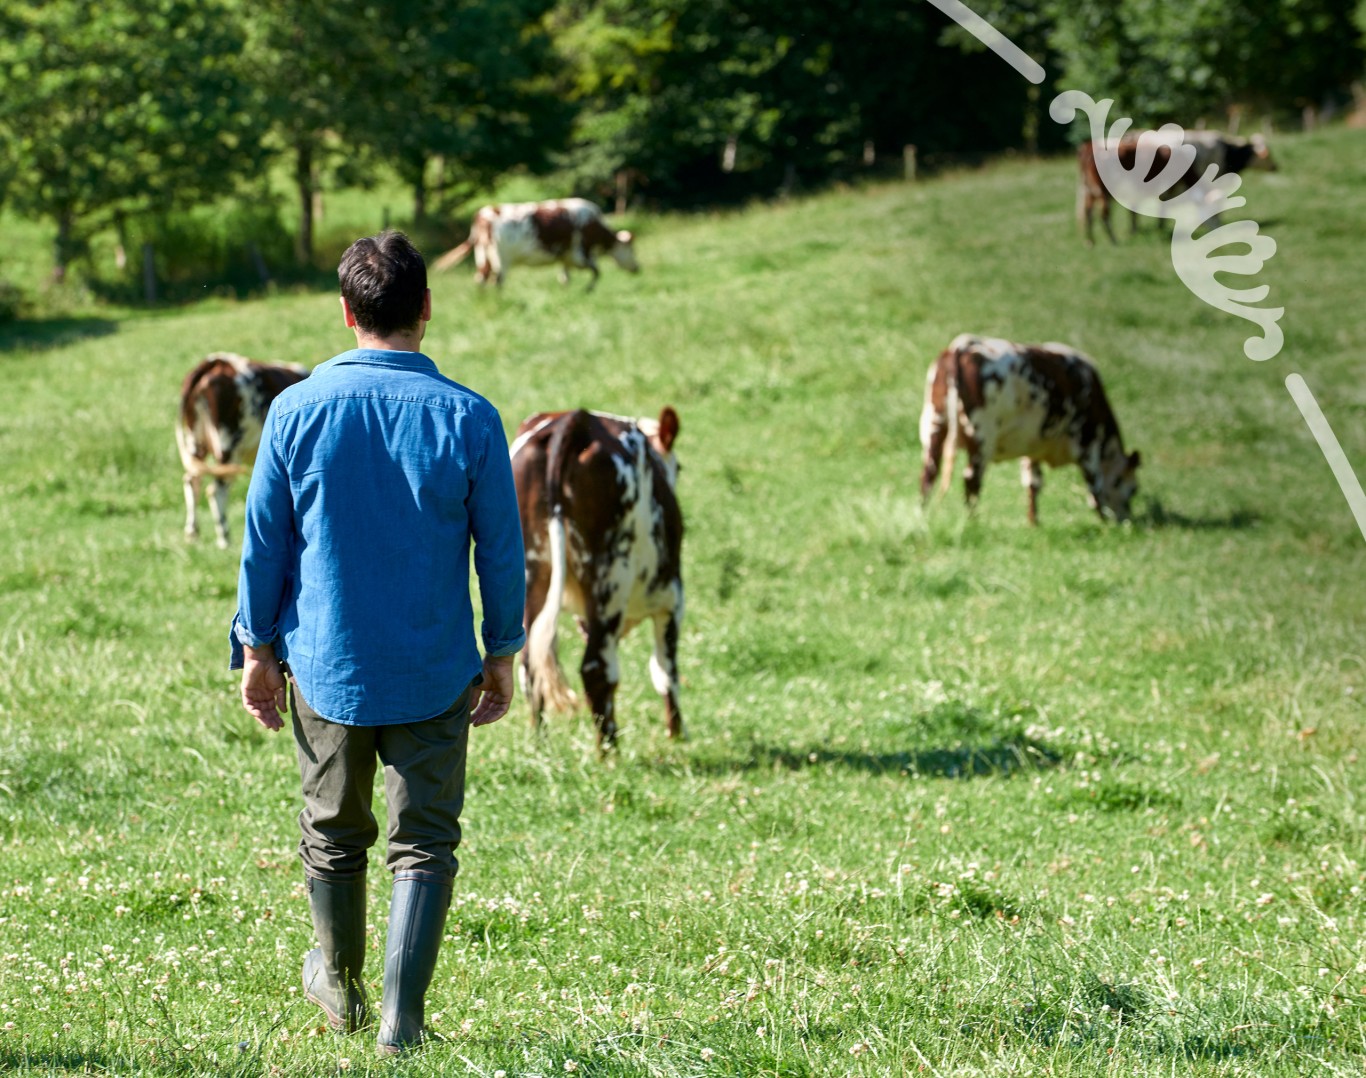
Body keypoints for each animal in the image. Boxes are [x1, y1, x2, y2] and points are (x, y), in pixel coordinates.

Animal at [174, 352, 308, 551]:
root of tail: (216, 361)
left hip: (196, 440)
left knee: (193, 481)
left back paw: (193, 534)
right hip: (228, 445)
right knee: (215, 490)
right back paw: (224, 539)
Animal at [431, 198, 639, 289]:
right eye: (631, 249)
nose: (637, 268)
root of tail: (484, 215)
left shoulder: (566, 257)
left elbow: (565, 277)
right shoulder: (580, 253)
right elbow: (597, 272)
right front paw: (588, 290)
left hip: (483, 255)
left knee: (481, 279)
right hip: (500, 258)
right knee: (497, 281)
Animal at [510, 407, 683, 748]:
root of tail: (577, 417)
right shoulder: (671, 600)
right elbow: (665, 670)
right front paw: (677, 738)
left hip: (530, 576)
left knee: (528, 663)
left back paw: (540, 744)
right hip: (610, 582)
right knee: (596, 670)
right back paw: (609, 752)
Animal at [917, 334, 1141, 524]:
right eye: (1134, 490)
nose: (1126, 521)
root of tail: (962, 346)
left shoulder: (1032, 446)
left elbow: (1033, 483)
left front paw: (1034, 522)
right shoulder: (1088, 443)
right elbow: (1095, 488)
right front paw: (1104, 524)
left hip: (935, 426)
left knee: (929, 473)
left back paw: (921, 517)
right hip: (981, 437)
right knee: (971, 480)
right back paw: (972, 522)